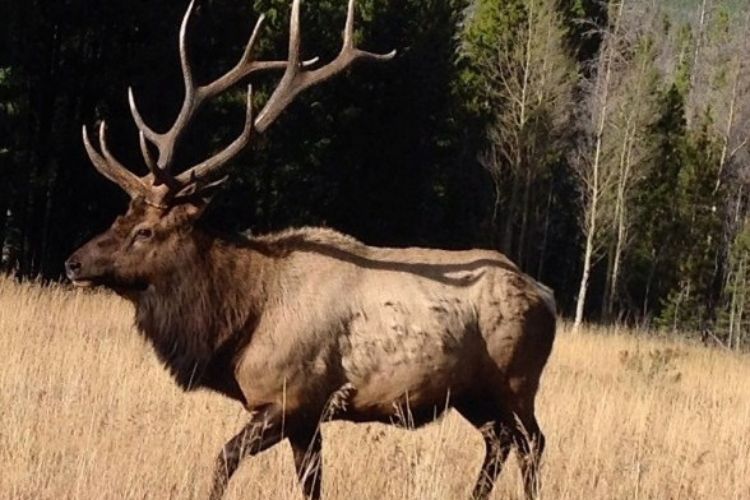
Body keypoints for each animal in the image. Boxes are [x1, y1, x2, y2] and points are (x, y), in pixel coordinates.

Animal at [64, 1, 557, 499]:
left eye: (144, 231)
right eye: (118, 217)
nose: (74, 262)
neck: (239, 322)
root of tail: (546, 295)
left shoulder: (293, 398)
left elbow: (223, 460)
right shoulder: (306, 418)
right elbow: (311, 481)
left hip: (515, 381)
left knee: (532, 442)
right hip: (475, 394)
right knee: (499, 441)